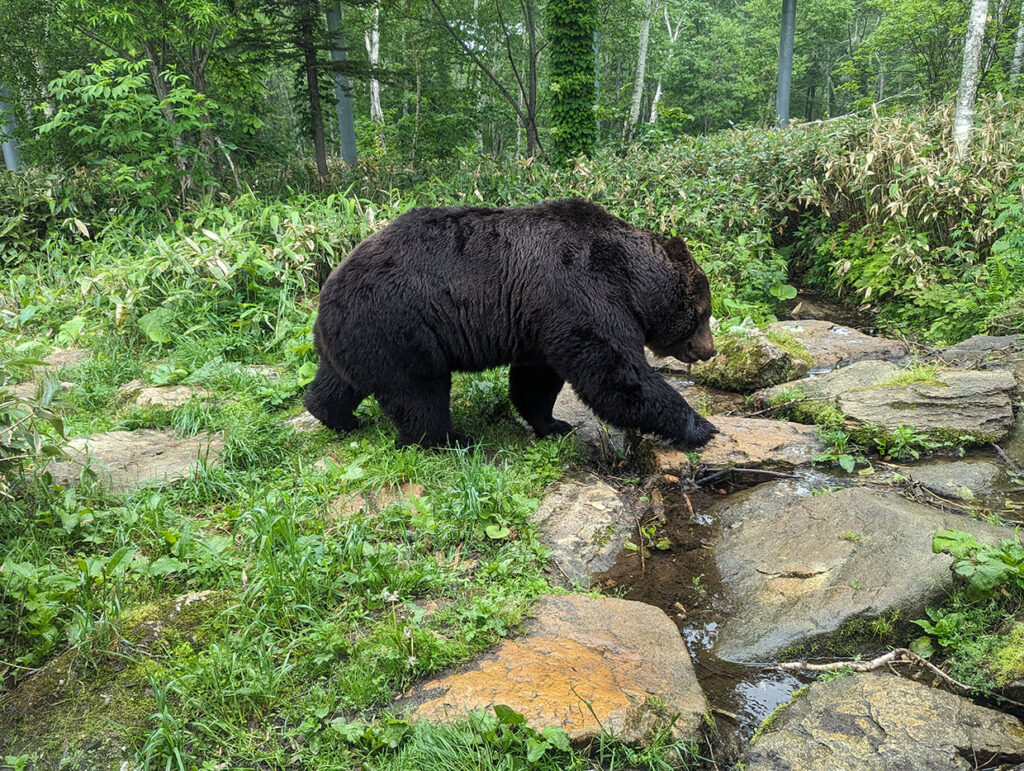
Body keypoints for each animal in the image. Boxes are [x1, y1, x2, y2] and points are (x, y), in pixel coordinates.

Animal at [307, 198, 716, 448]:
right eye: (704, 313)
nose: (709, 351)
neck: (630, 278)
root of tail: (327, 290)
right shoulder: (582, 290)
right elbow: (617, 374)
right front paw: (701, 426)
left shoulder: (540, 320)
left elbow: (536, 381)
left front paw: (554, 424)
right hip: (399, 325)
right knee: (419, 391)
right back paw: (451, 440)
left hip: (354, 335)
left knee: (339, 380)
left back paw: (336, 416)